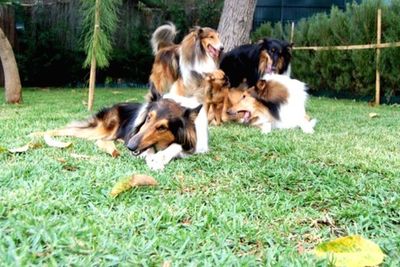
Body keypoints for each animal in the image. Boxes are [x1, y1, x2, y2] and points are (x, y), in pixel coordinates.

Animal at [39, 89, 209, 171]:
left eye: (162, 127)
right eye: (148, 117)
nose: (130, 146)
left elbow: (175, 147)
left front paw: (159, 159)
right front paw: (152, 158)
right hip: (103, 129)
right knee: (67, 129)